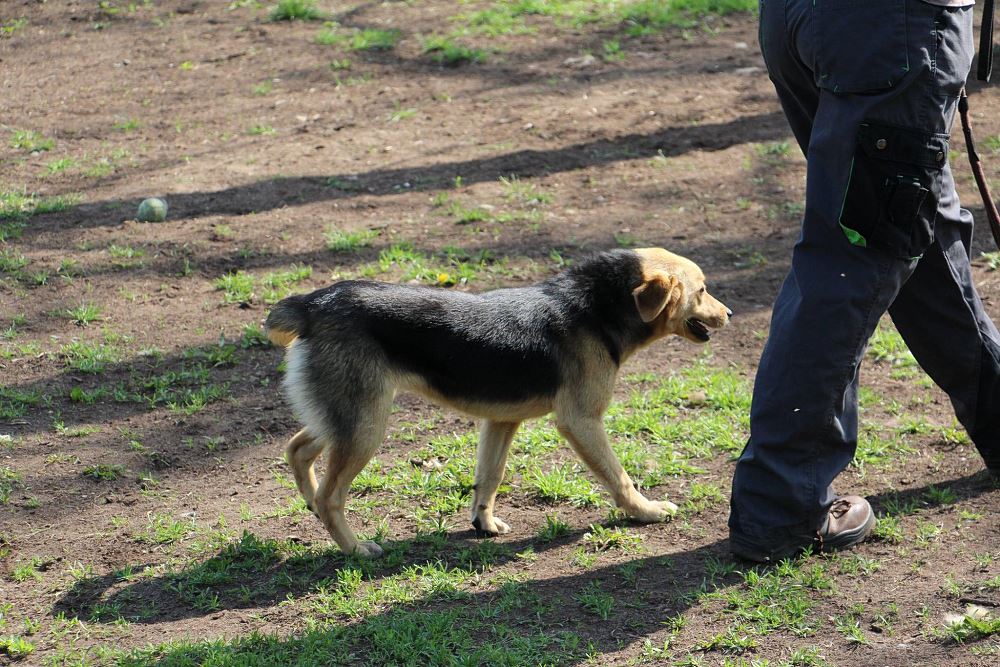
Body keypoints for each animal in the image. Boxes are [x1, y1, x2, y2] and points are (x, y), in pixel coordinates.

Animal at [265, 247, 731, 557]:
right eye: (703, 290)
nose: (729, 314)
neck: (594, 308)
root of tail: (313, 303)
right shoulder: (581, 421)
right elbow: (620, 477)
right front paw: (646, 511)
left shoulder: (501, 422)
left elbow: (489, 479)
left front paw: (483, 524)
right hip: (366, 426)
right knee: (331, 495)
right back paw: (355, 548)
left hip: (348, 417)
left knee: (297, 449)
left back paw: (311, 505)